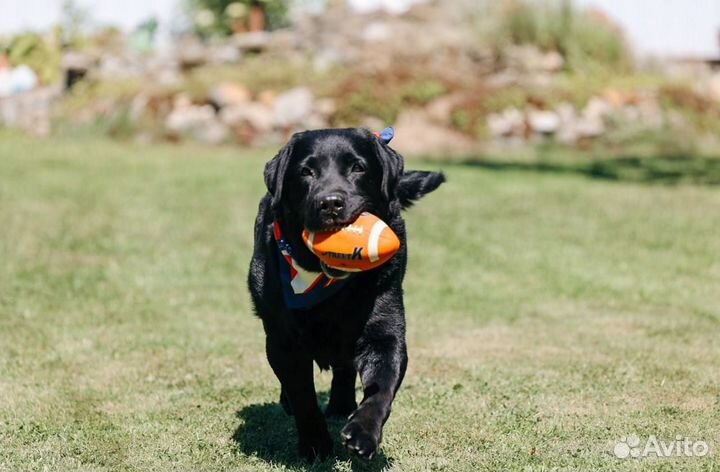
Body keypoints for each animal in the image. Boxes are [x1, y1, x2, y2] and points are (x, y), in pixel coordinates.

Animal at [249, 126, 444, 460]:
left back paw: (342, 405)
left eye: (358, 167)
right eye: (306, 172)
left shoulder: (385, 328)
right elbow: (303, 395)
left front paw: (363, 433)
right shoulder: (284, 340)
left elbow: (381, 389)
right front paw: (315, 444)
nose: (330, 202)